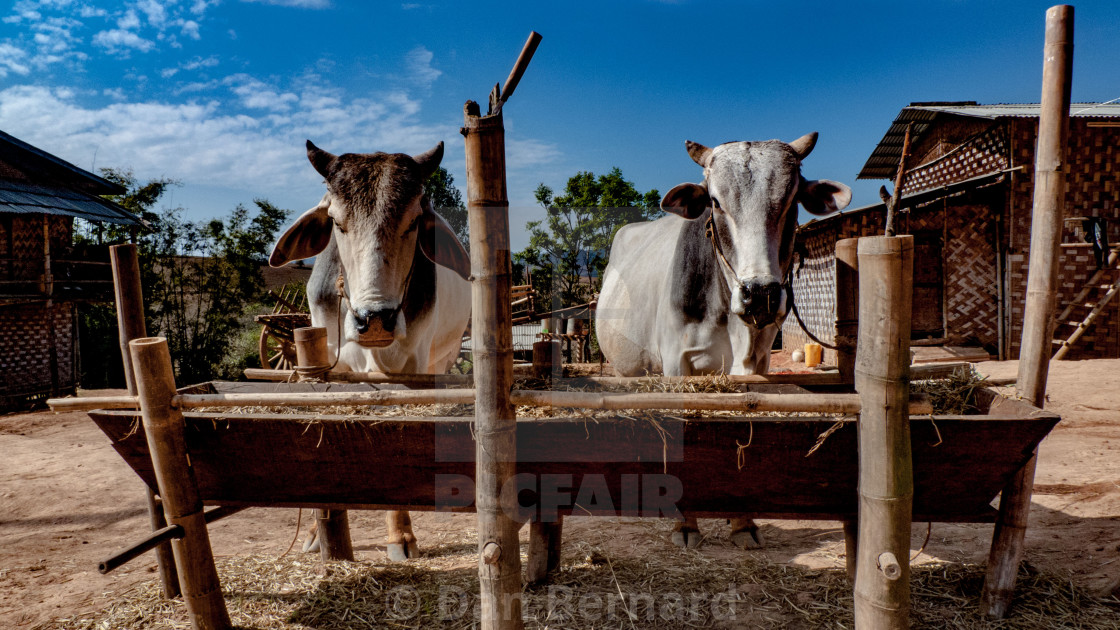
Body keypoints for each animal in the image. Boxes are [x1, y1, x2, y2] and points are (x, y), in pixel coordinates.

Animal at [271, 138, 472, 558]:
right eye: (337, 222)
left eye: (413, 221)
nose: (375, 319)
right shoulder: (328, 365)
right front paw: (318, 530)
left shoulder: (411, 368)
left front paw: (401, 535)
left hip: (443, 357)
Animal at [595, 131, 846, 544]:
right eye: (715, 201)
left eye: (792, 199)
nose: (760, 293)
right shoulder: (676, 365)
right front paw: (686, 524)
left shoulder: (755, 364)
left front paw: (742, 522)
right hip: (625, 366)